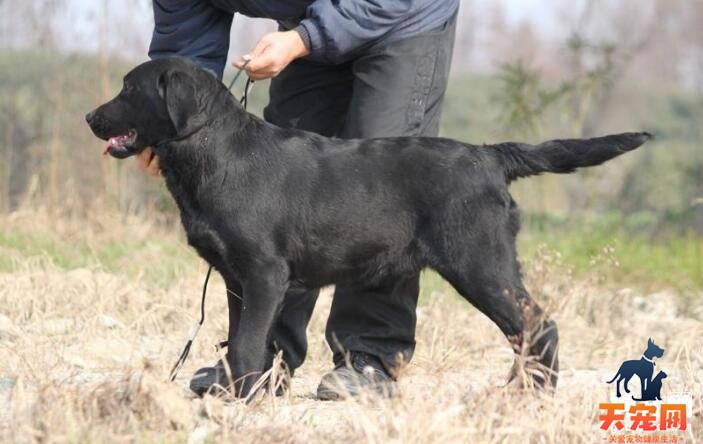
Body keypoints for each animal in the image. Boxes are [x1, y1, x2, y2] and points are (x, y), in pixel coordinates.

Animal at [88, 58, 656, 396]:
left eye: (129, 89)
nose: (91, 117)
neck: (216, 152)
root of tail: (490, 156)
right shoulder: (236, 278)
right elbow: (240, 339)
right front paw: (235, 388)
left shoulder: (265, 273)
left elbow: (248, 342)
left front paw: (241, 400)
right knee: (528, 328)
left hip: (480, 263)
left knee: (539, 323)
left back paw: (530, 393)